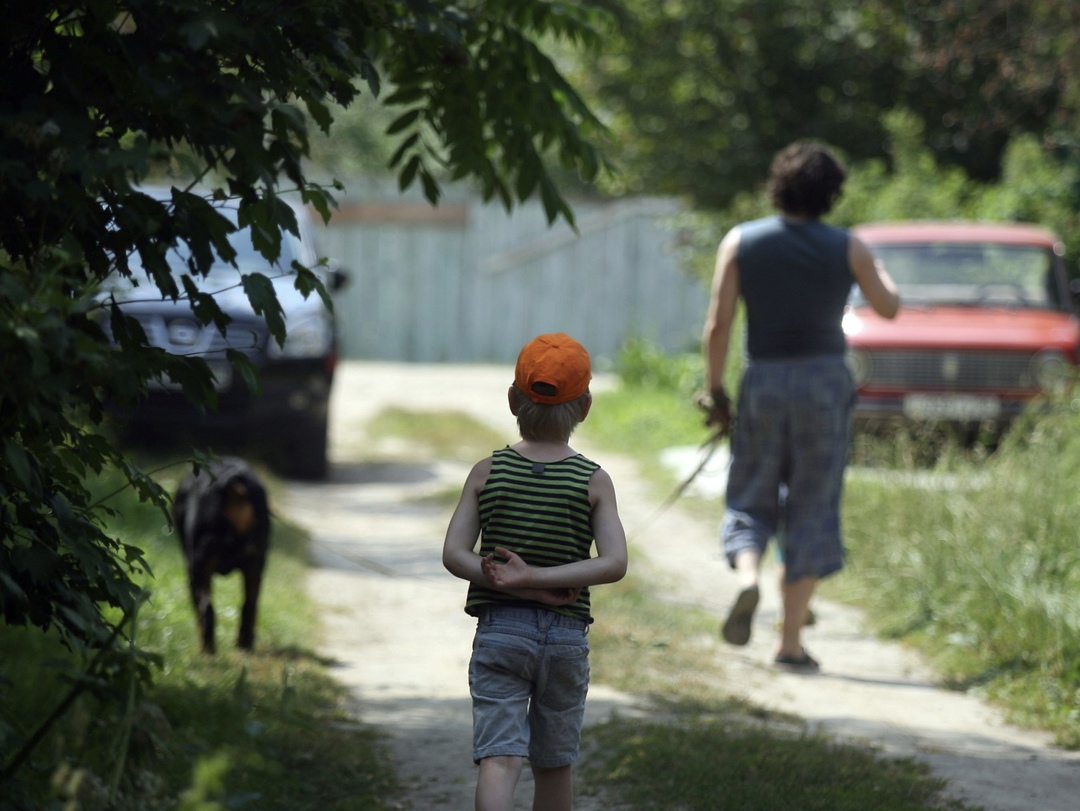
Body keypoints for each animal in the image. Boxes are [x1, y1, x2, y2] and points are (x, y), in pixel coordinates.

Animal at [170, 457, 270, 652]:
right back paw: (244, 644)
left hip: (200, 566)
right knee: (250, 605)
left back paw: (206, 649)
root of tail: (233, 484)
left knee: (206, 608)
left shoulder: (193, 571)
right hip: (255, 565)